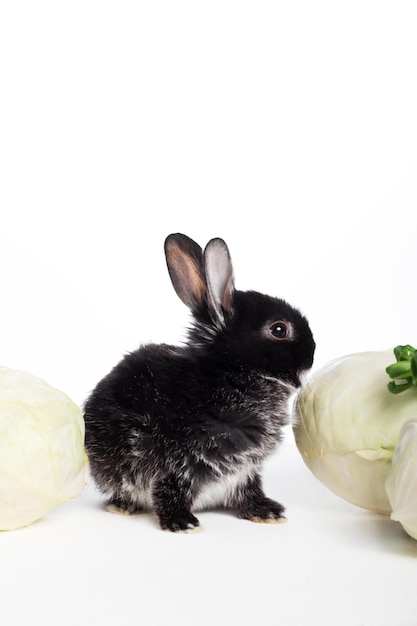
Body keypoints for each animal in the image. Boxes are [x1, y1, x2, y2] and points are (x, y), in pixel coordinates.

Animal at [83, 234, 314, 532]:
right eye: (279, 329)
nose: (312, 353)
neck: (232, 376)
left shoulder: (244, 471)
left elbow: (249, 490)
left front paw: (266, 512)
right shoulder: (175, 463)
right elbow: (169, 491)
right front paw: (182, 523)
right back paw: (122, 507)